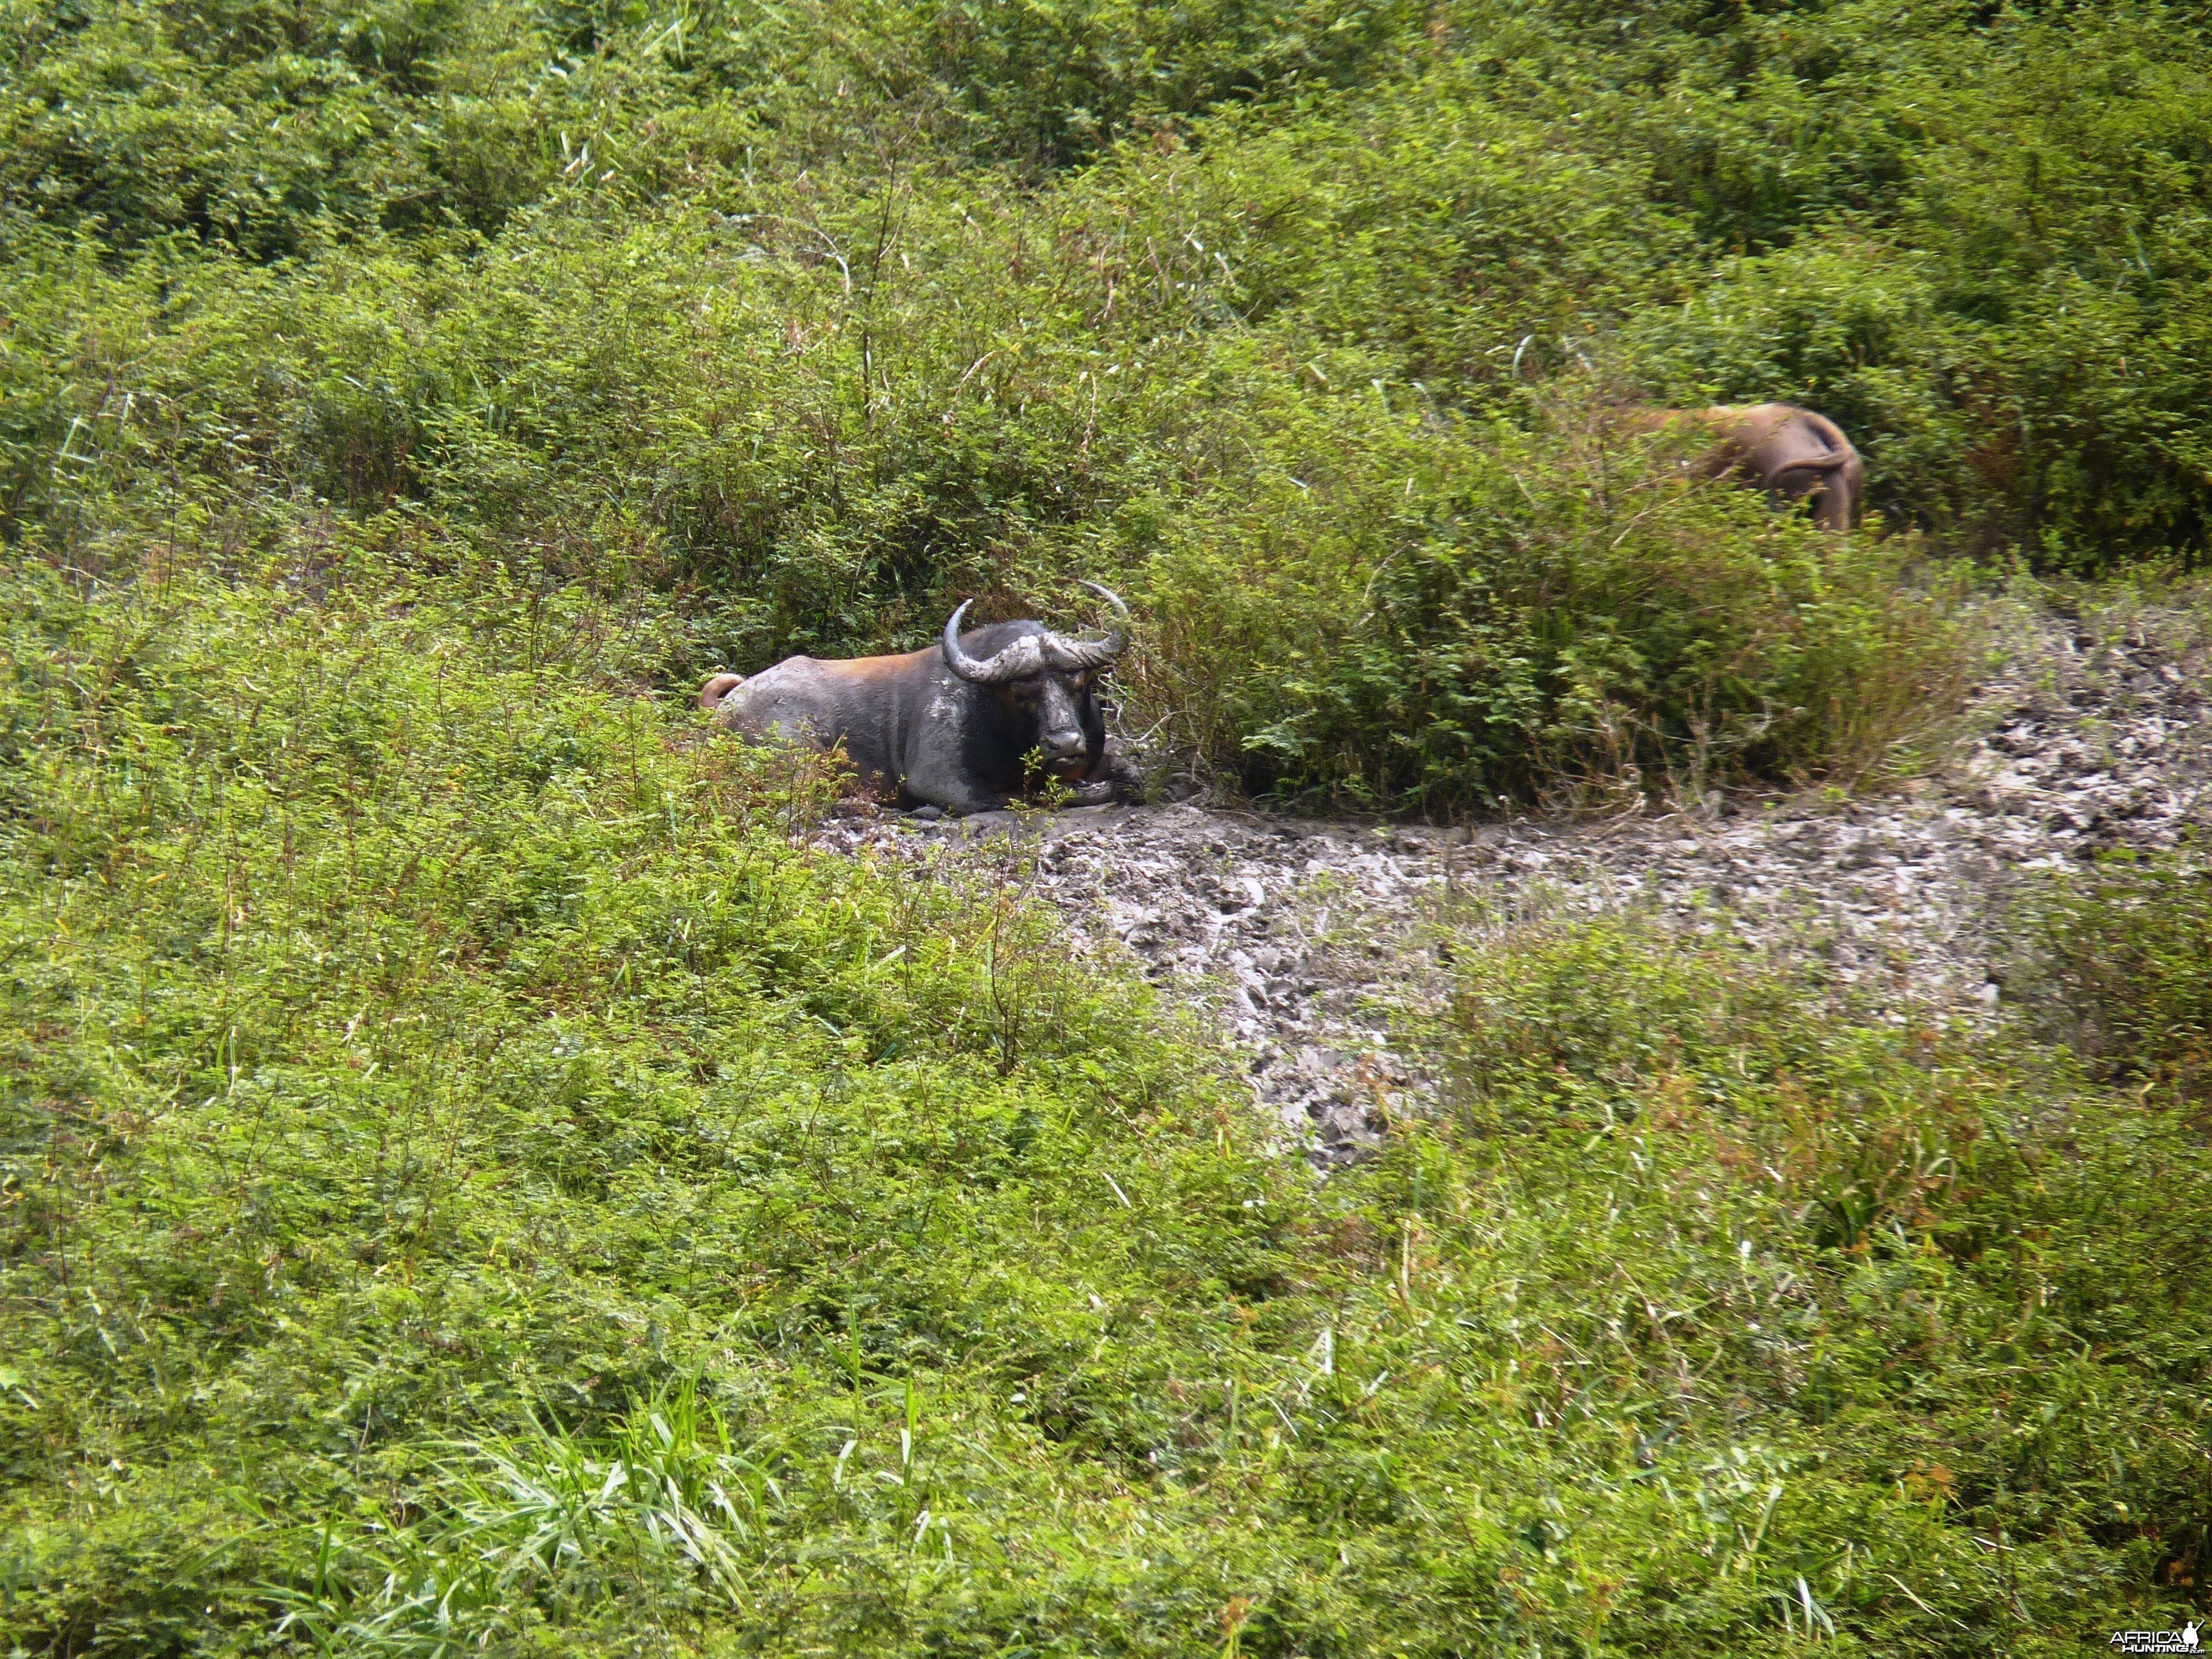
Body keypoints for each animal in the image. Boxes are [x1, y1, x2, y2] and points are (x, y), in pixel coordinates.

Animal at [699, 584, 1133, 818]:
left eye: (1077, 681)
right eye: (1020, 692)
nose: (1065, 744)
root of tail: (726, 708)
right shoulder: (942, 781)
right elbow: (1013, 798)